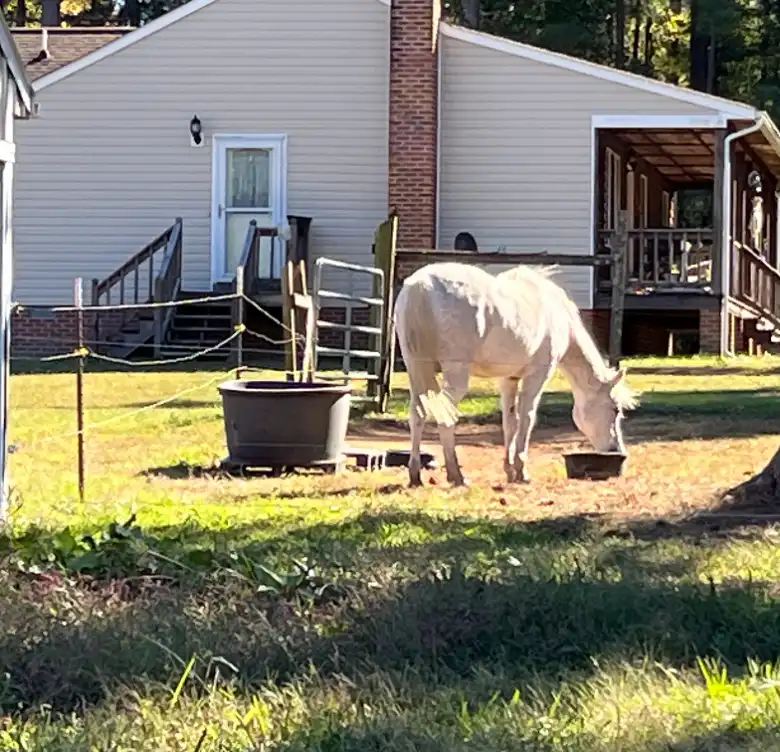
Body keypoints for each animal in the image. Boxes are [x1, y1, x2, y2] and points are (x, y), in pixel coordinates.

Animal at [393, 261, 638, 487]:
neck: (557, 313)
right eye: (615, 409)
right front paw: (522, 472)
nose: (616, 450)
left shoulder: (508, 379)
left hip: (416, 370)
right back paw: (457, 476)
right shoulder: (538, 375)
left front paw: (509, 470)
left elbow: (510, 421)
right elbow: (527, 418)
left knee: (417, 414)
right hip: (455, 376)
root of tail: (421, 286)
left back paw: (415, 475)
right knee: (445, 416)